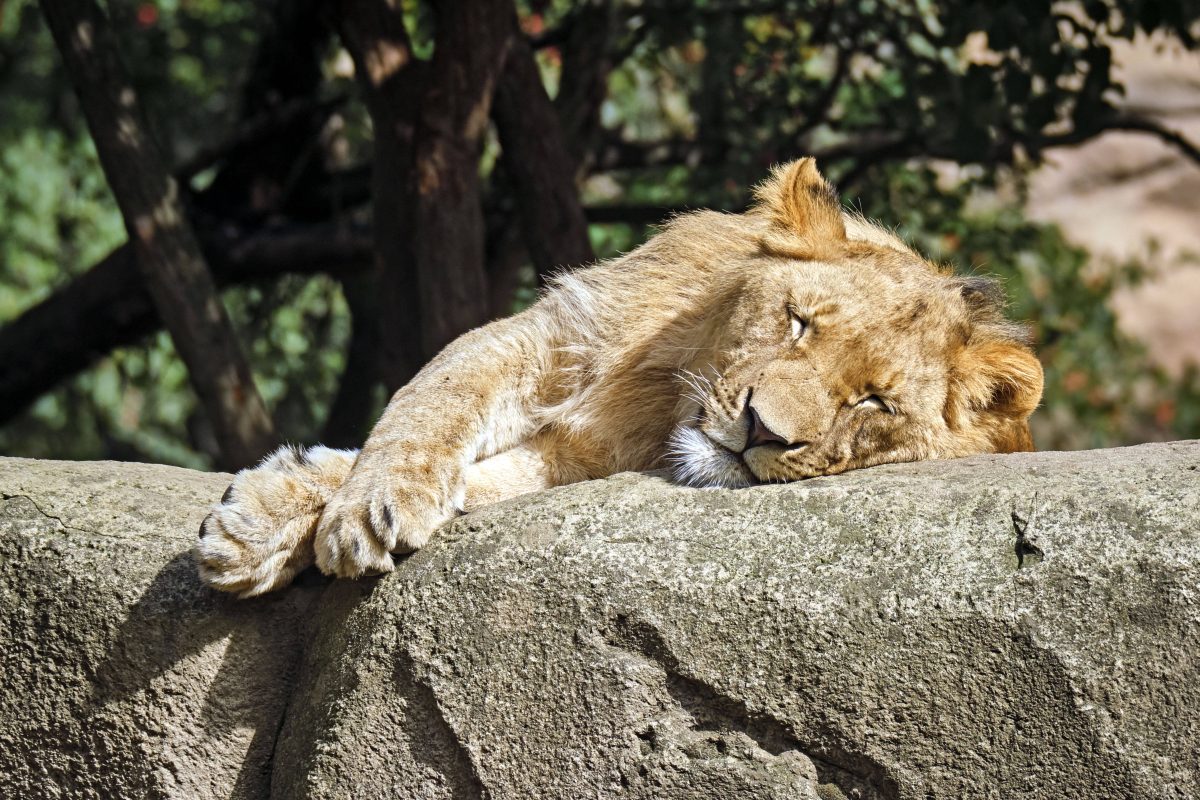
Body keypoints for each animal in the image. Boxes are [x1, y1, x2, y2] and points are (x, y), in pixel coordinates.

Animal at [194, 158, 1041, 594]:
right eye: (797, 320)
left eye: (872, 402)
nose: (761, 430)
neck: (666, 389)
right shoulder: (552, 338)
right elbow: (430, 402)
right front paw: (298, 511)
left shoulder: (580, 457)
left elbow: (486, 482)